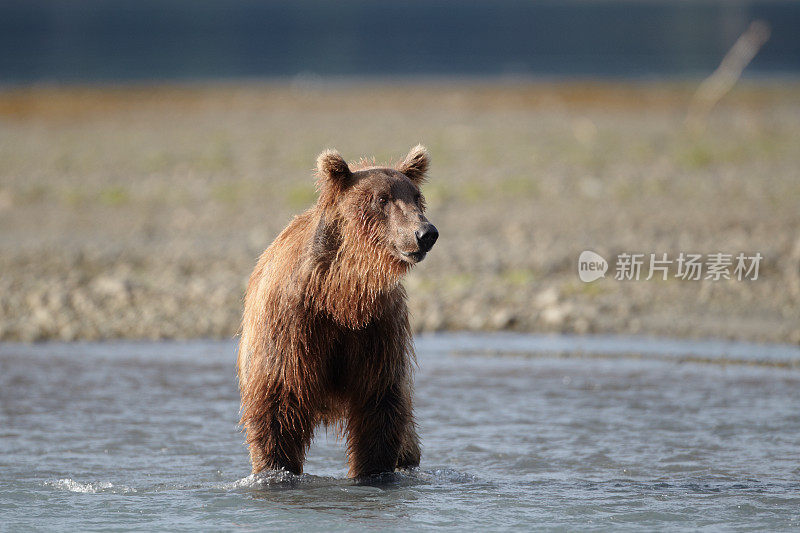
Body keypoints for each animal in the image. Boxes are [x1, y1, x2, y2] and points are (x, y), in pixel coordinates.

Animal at [238, 143, 438, 476]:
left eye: (416, 196)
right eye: (382, 198)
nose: (425, 233)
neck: (339, 295)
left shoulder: (377, 329)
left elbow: (378, 403)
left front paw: (372, 470)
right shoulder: (293, 324)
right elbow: (277, 405)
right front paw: (276, 468)